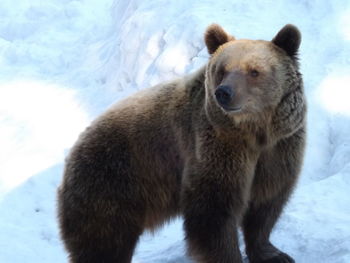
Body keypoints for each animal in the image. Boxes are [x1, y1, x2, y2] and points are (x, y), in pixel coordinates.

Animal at [57, 24, 306, 263]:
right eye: (222, 70)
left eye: (254, 71)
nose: (224, 93)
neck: (254, 132)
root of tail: (73, 151)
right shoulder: (216, 148)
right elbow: (213, 212)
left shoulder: (280, 149)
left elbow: (267, 204)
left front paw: (275, 254)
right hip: (111, 183)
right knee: (105, 242)